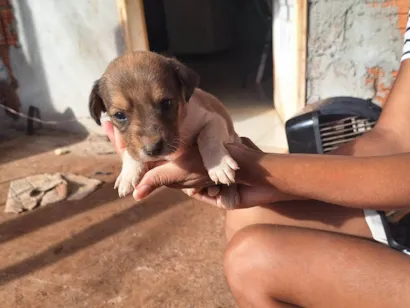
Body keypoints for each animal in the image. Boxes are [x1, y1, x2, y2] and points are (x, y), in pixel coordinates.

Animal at [87, 51, 240, 208]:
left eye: (167, 103)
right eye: (119, 115)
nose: (153, 150)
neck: (180, 126)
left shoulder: (215, 119)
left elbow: (207, 137)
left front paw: (218, 165)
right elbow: (130, 151)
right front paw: (128, 174)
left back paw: (229, 196)